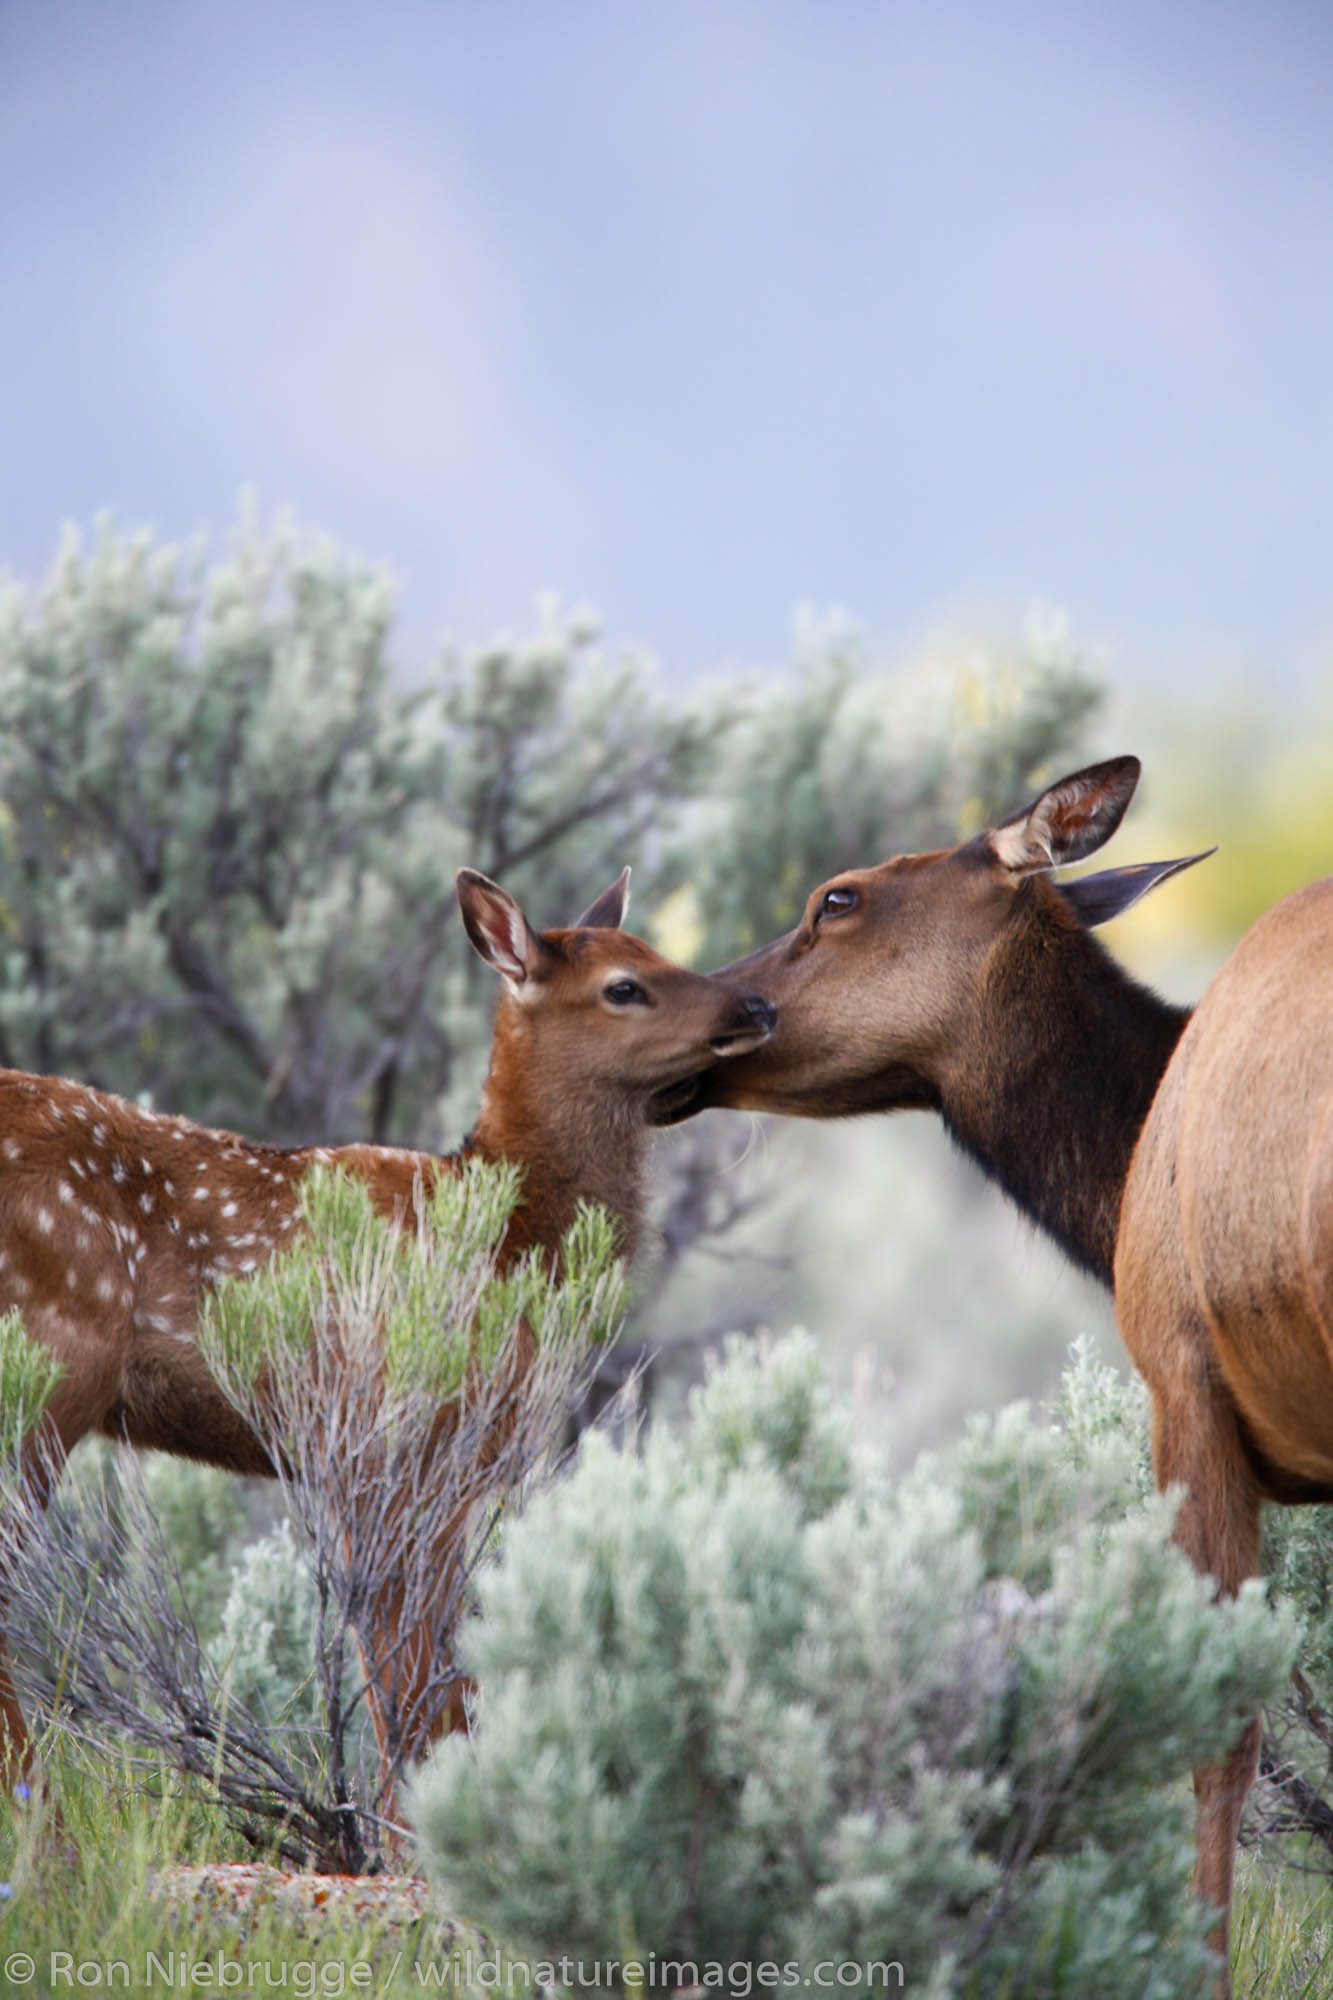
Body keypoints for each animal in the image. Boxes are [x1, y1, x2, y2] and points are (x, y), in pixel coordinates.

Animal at [0, 868, 772, 1808]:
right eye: (624, 986)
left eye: (658, 950)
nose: (757, 1004)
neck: (507, 1238)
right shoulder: (394, 1441)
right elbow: (413, 1688)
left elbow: (431, 1680)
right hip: (50, 1358)